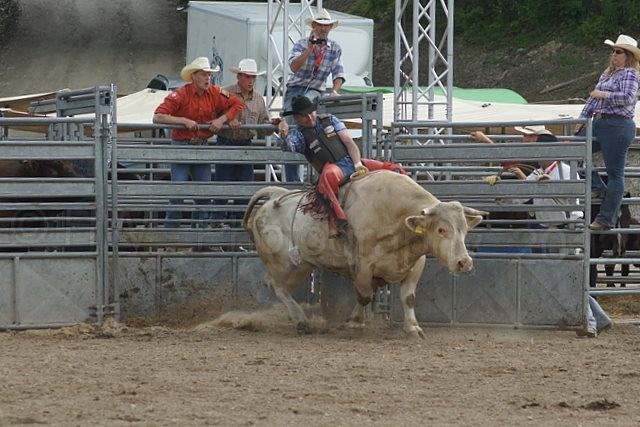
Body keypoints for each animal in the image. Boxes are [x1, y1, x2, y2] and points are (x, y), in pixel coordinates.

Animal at [241, 170, 484, 338]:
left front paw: (413, 328)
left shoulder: (416, 263)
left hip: (302, 265)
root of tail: (274, 196)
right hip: (281, 262)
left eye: (464, 229)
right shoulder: (362, 265)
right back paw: (302, 321)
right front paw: (354, 322)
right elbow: (364, 295)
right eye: (441, 230)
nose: (464, 262)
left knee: (280, 287)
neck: (393, 214)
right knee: (275, 284)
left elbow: (408, 297)